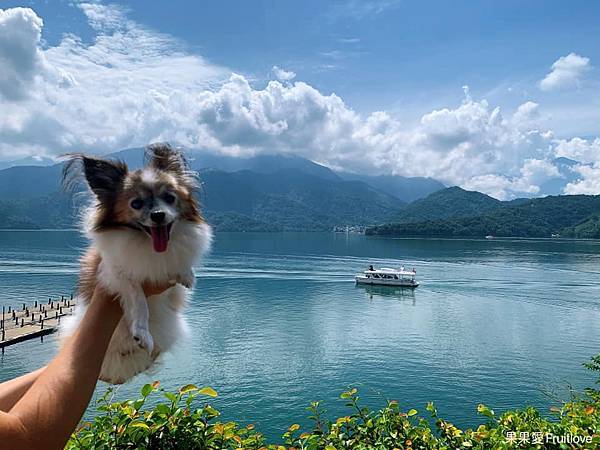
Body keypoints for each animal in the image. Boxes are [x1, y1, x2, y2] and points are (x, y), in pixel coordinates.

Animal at [61, 143, 211, 384]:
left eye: (170, 198)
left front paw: (187, 274)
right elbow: (138, 299)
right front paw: (142, 333)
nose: (158, 215)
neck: (150, 245)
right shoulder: (113, 273)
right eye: (136, 204)